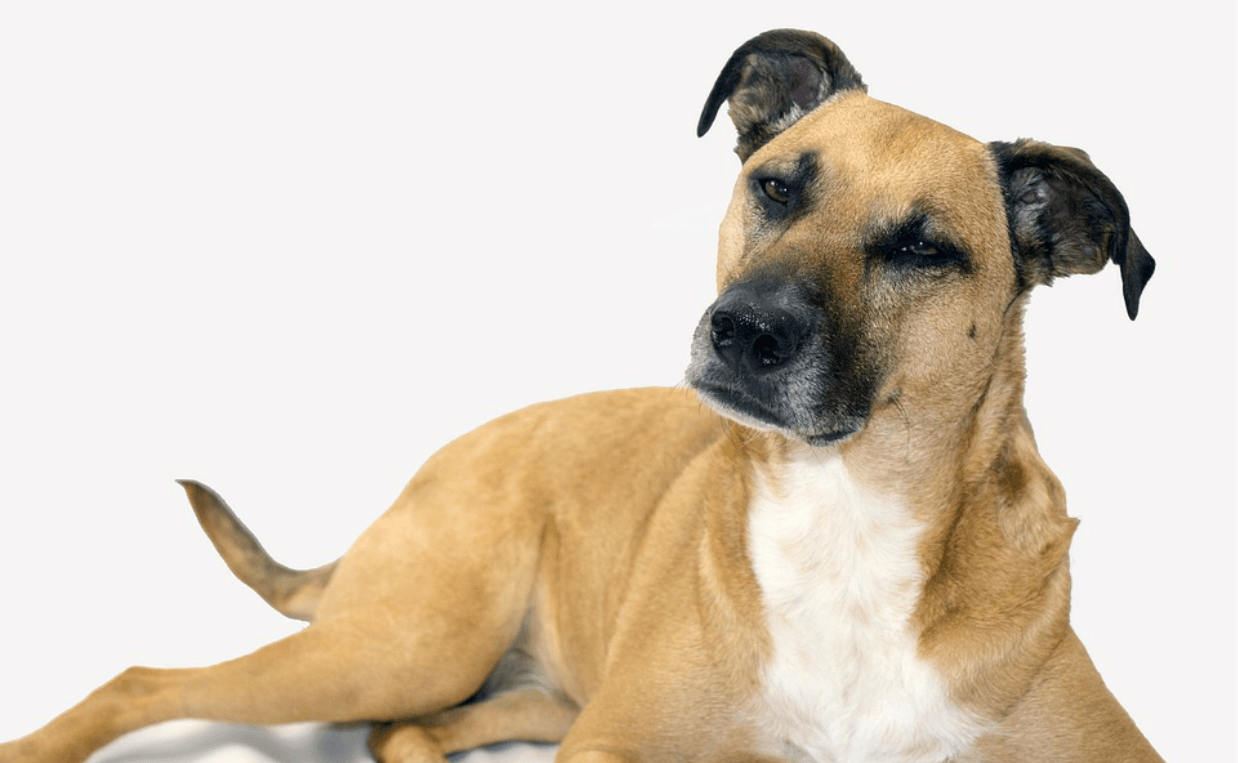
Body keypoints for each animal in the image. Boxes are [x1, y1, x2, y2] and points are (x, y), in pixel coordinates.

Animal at [0, 28, 1158, 763]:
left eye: (923, 248)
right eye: (778, 185)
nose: (743, 332)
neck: (848, 508)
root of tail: (434, 464)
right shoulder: (613, 737)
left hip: (520, 691)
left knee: (405, 733)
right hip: (403, 646)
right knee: (148, 680)